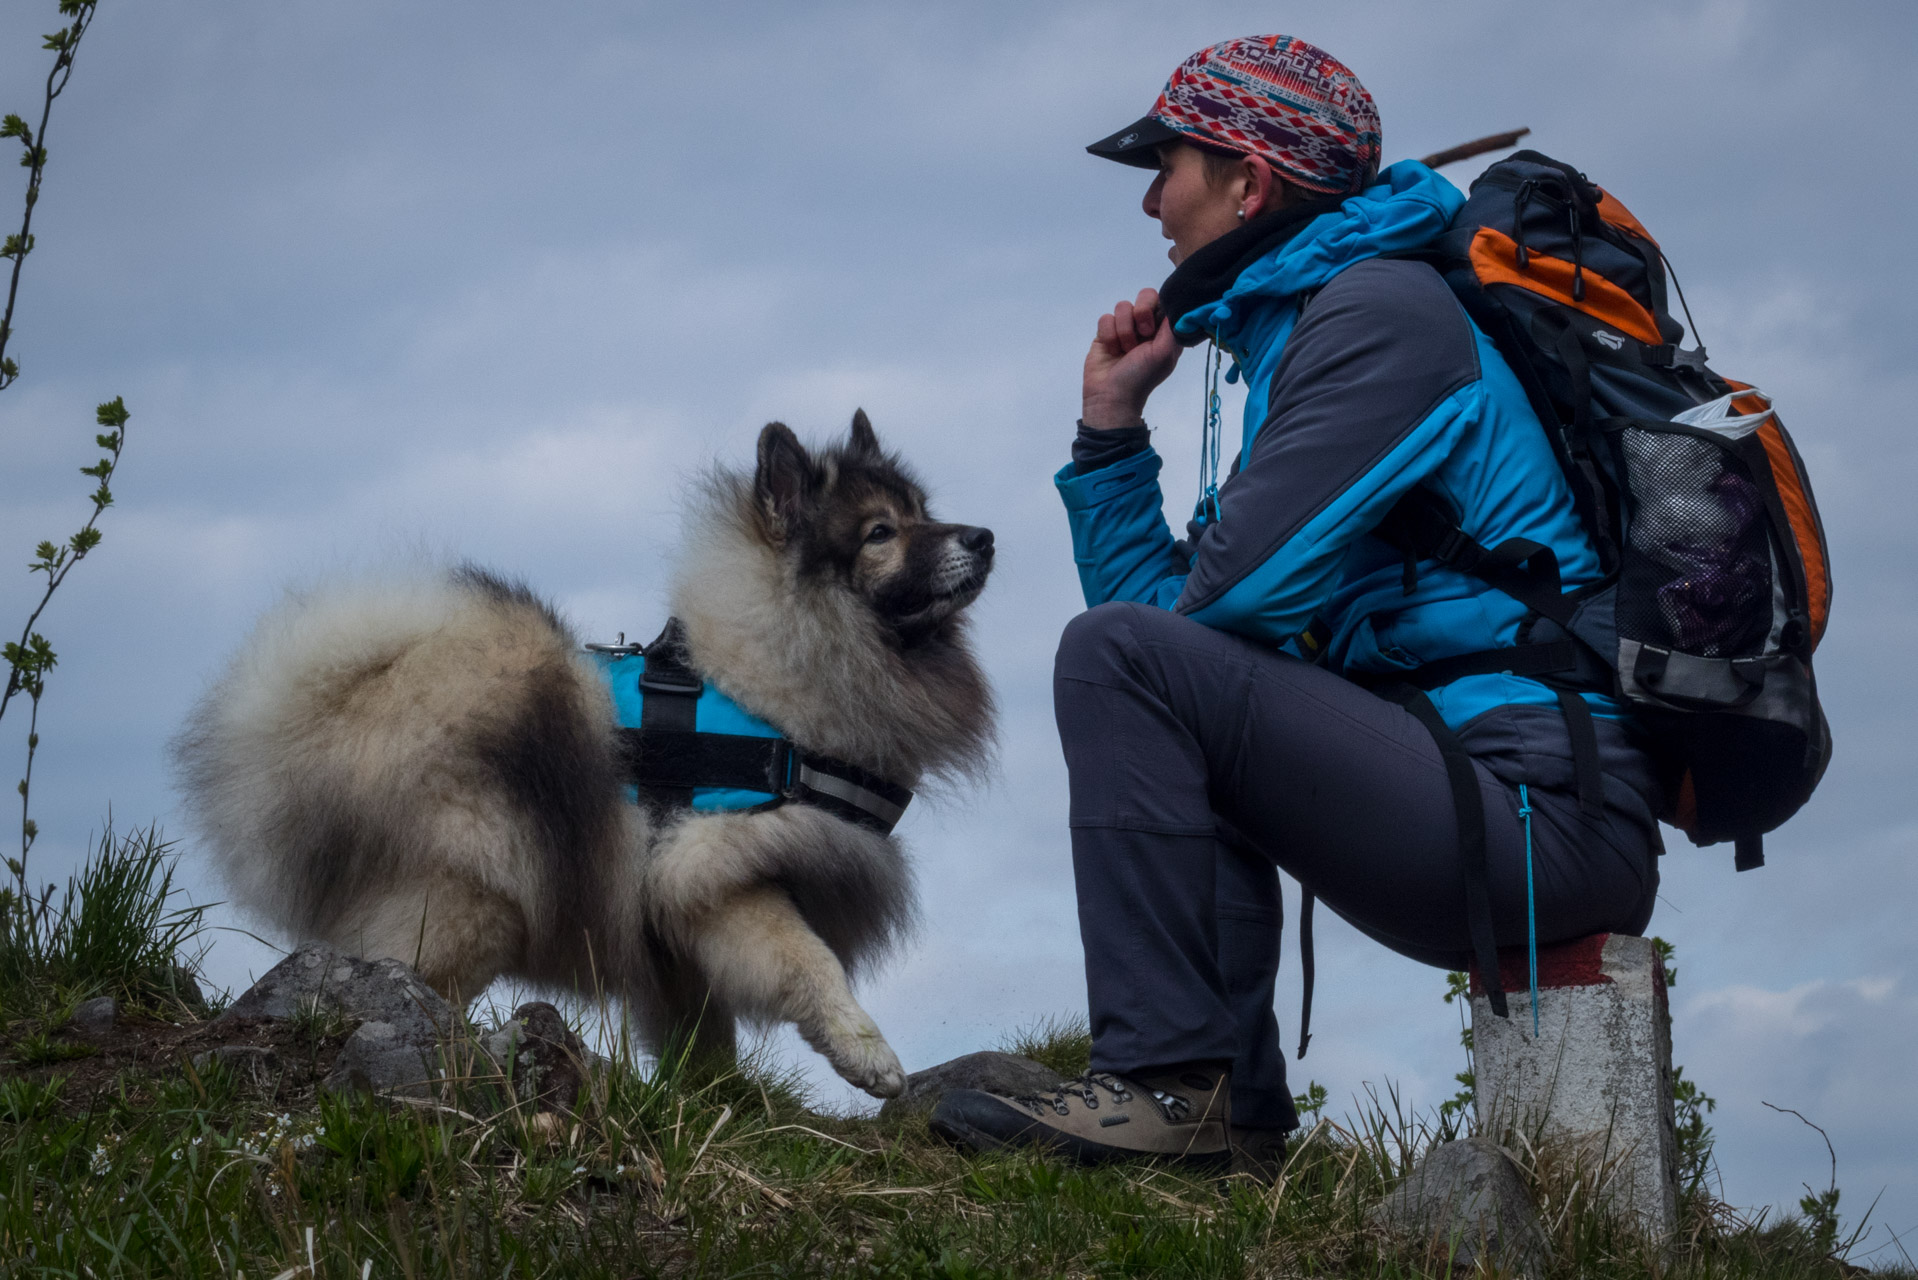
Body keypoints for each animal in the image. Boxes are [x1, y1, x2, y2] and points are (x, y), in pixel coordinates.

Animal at [176, 416, 1005, 1097]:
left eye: (924, 512)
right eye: (880, 533)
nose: (984, 537)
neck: (770, 678)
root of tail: (326, 707)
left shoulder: (672, 927)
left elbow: (701, 1034)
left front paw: (716, 1104)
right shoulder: (720, 871)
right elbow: (811, 964)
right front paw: (869, 1055)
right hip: (474, 898)